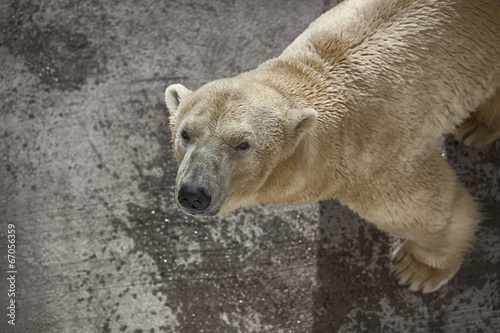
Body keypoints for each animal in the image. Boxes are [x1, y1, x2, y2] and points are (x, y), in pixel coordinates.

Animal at [165, 0, 500, 290]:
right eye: (186, 134)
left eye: (242, 144)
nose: (194, 194)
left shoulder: (376, 158)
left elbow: (426, 206)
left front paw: (417, 269)